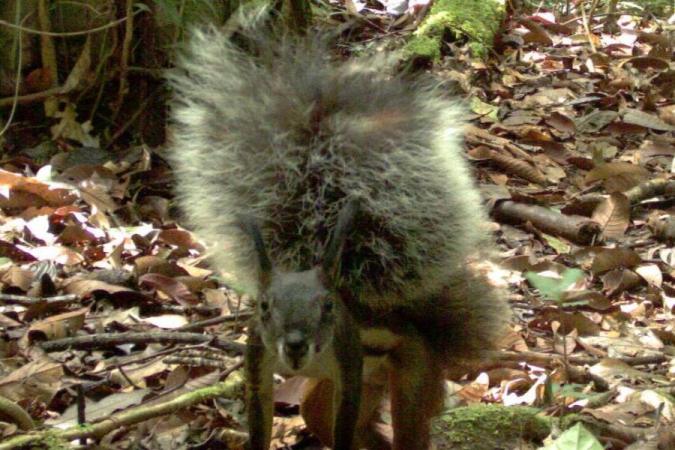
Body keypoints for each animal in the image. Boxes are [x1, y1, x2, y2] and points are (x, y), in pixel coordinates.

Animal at [168, 18, 508, 450]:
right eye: (264, 306)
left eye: (328, 308)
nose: (296, 345)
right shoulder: (259, 356)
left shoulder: (349, 361)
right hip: (351, 385)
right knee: (326, 416)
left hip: (409, 373)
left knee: (405, 425)